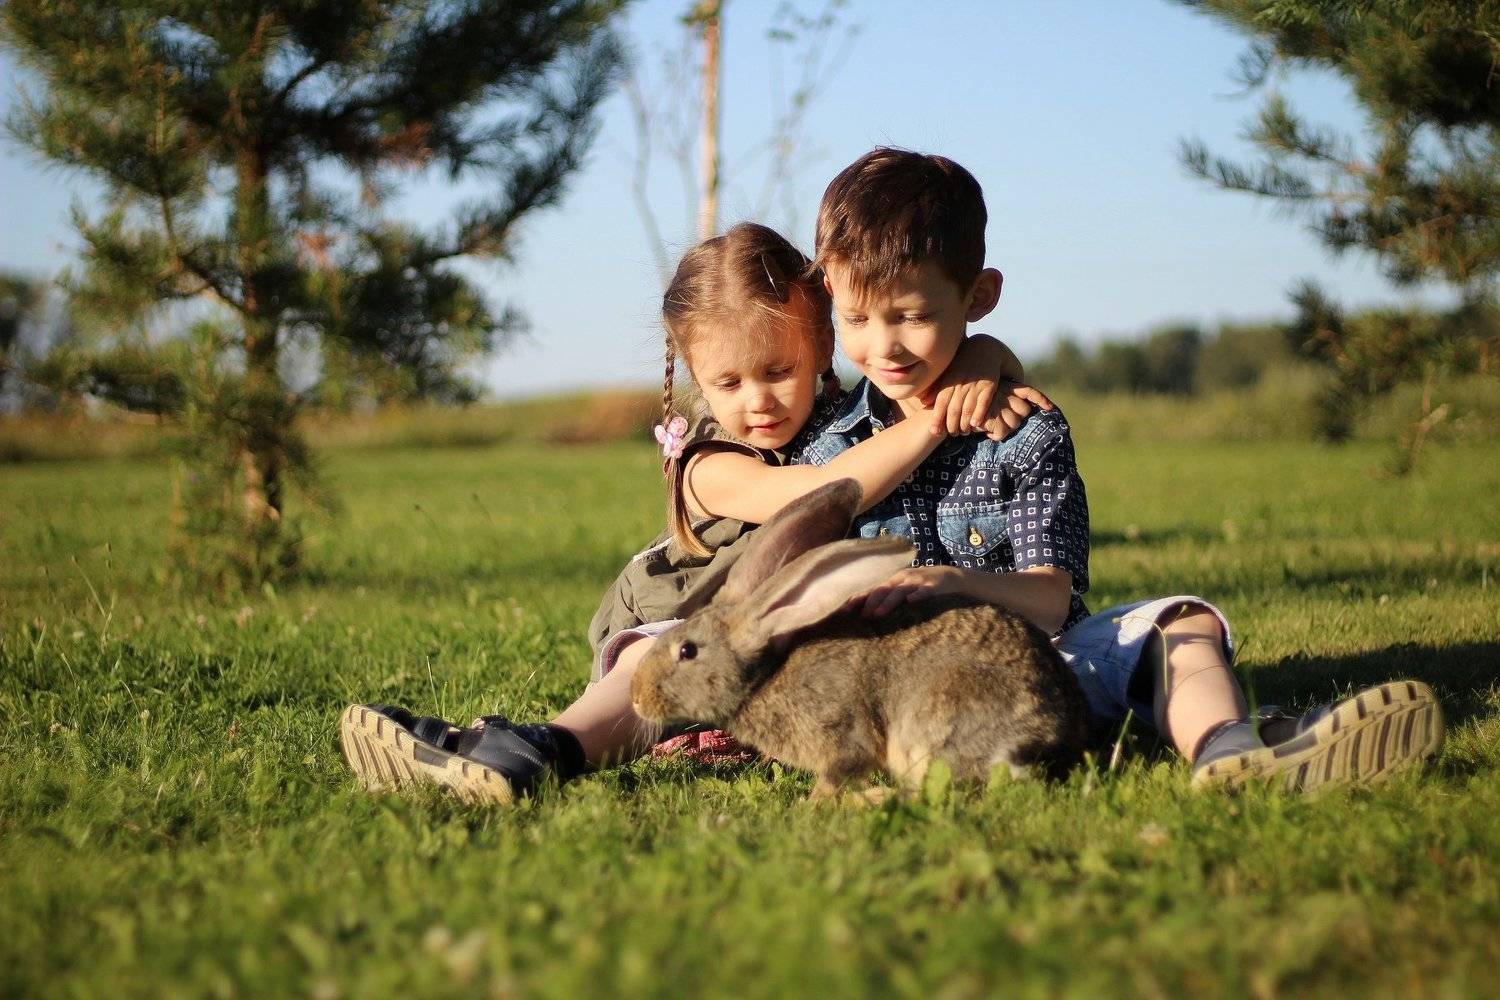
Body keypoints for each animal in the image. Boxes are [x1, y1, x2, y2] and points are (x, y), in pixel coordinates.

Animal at [631, 478, 1091, 799]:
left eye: (687, 650)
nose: (637, 699)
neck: (762, 678)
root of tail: (1049, 737)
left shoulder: (842, 734)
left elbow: (839, 774)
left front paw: (813, 805)